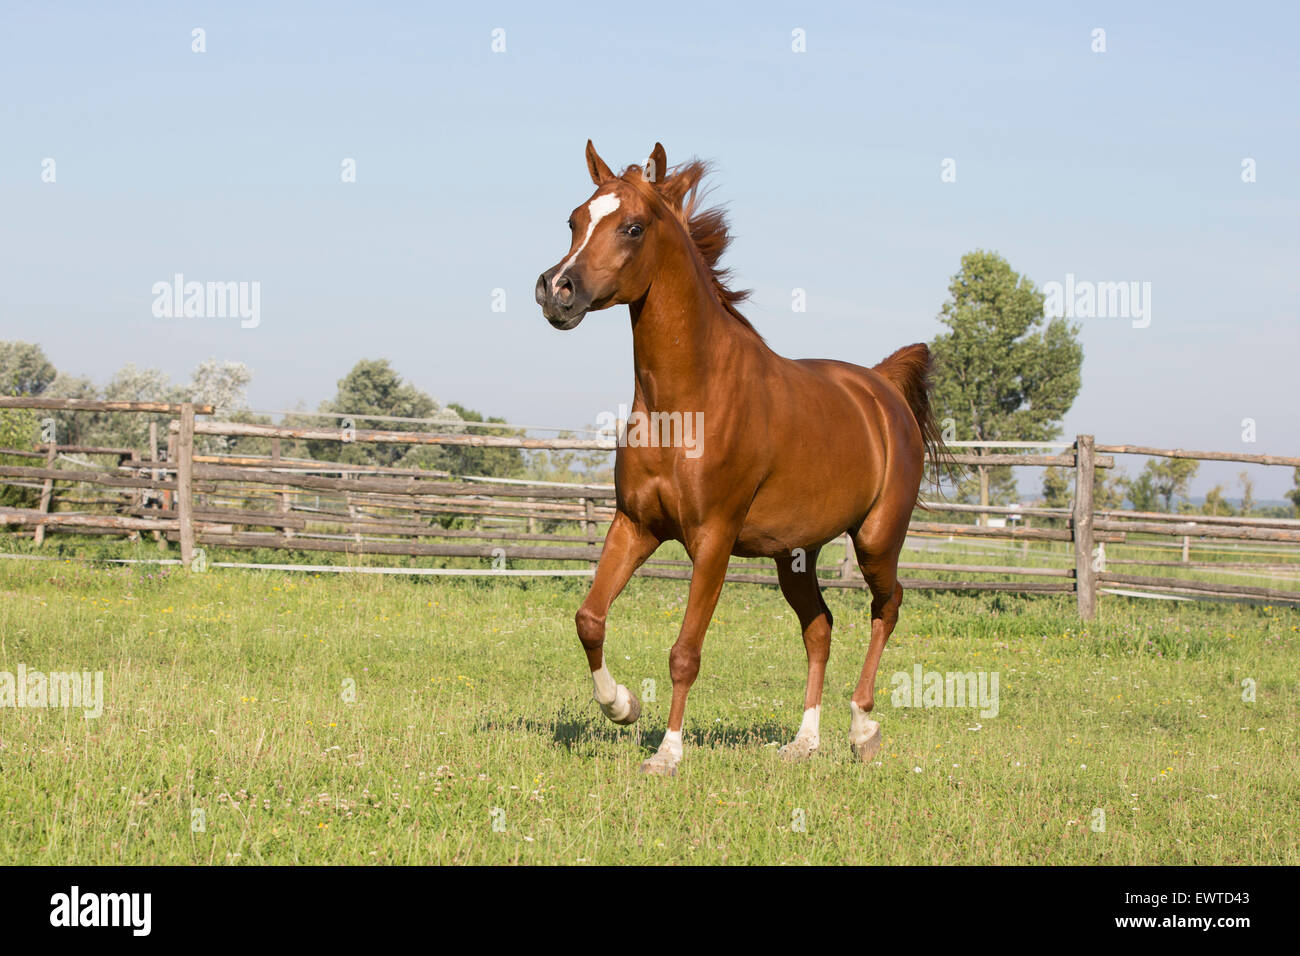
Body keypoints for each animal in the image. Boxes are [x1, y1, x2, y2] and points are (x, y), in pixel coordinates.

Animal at [533, 141, 941, 780]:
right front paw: (622, 706)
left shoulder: (714, 539)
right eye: (574, 219)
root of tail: (882, 387)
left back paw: (862, 729)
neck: (689, 402)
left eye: (632, 226)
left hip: (877, 538)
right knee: (819, 628)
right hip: (795, 554)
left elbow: (685, 652)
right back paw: (803, 742)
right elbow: (589, 618)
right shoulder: (635, 525)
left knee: (887, 605)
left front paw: (667, 754)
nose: (556, 290)